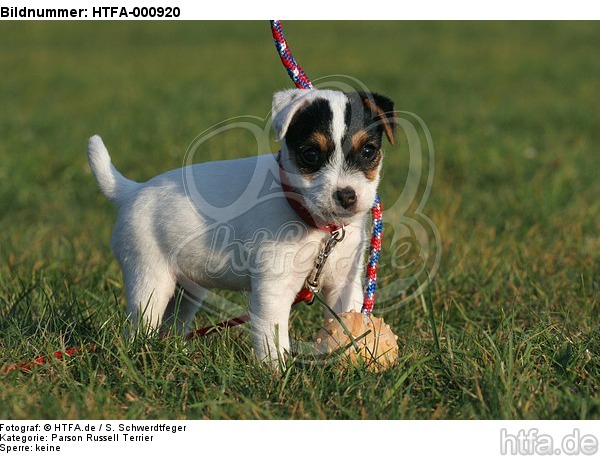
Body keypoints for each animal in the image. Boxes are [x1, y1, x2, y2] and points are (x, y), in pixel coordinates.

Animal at [88, 89, 394, 366]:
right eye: (310, 154)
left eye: (368, 151)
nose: (346, 196)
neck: (316, 225)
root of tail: (131, 191)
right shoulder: (273, 287)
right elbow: (273, 339)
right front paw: (277, 376)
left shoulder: (344, 283)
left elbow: (346, 317)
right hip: (149, 278)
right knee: (140, 326)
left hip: (188, 287)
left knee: (174, 324)